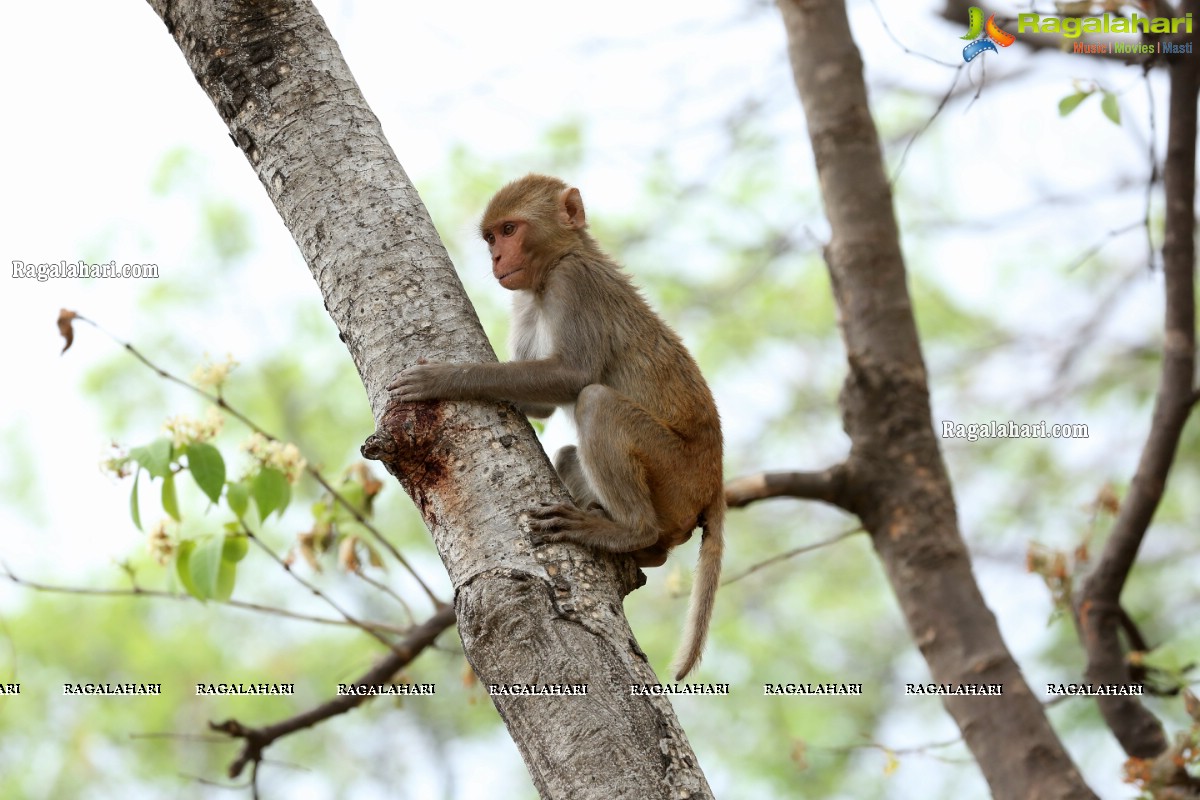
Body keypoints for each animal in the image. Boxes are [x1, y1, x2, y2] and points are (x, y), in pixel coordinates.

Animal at [393, 175, 724, 681]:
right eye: (491, 237)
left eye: (510, 230)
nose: (496, 258)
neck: (551, 270)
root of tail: (715, 477)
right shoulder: (526, 300)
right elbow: (545, 407)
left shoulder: (574, 282)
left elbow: (572, 376)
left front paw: (442, 377)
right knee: (573, 450)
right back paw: (643, 549)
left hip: (677, 473)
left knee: (596, 403)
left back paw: (632, 531)